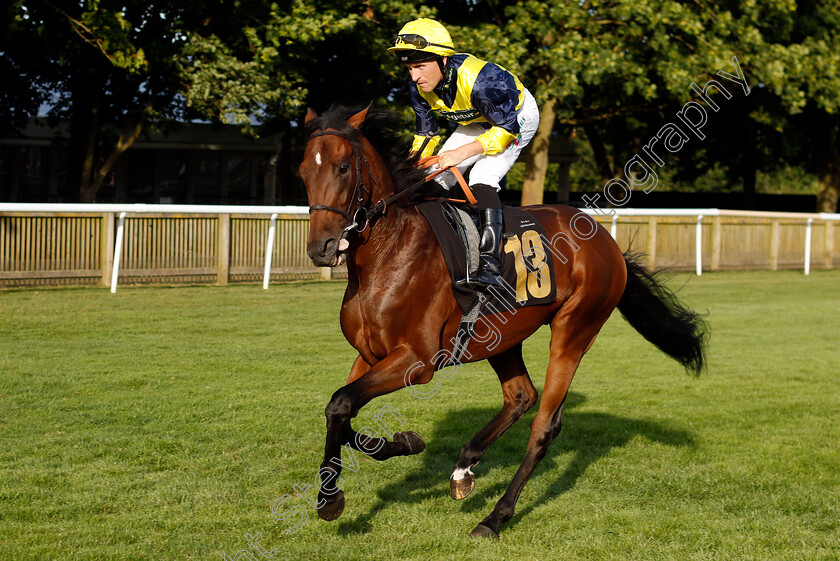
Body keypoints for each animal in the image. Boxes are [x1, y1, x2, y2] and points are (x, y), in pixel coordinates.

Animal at [298, 105, 704, 540]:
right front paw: (404, 444)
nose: (321, 248)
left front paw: (329, 500)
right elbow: (340, 412)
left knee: (544, 425)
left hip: (574, 331)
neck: (390, 251)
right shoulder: (369, 355)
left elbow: (341, 404)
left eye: (343, 167)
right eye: (303, 170)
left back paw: (495, 517)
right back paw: (464, 467)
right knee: (521, 395)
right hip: (502, 336)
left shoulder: (416, 361)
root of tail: (605, 241)